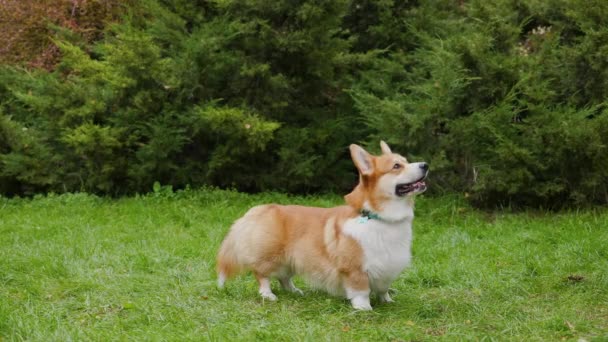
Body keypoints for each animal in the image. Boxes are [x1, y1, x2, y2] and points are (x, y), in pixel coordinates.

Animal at [217, 141, 428, 310]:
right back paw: (268, 295)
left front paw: (387, 301)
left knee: (284, 277)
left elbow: (383, 289)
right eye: (396, 166)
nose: (425, 165)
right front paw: (364, 308)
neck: (378, 217)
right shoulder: (355, 269)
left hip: (292, 259)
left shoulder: (388, 266)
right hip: (270, 257)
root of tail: (261, 208)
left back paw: (294, 291)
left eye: (406, 161)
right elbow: (360, 290)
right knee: (262, 275)